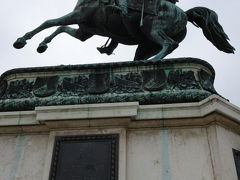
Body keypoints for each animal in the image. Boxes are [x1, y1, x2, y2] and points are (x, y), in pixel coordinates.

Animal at [13, 0, 234, 60]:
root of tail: (185, 14)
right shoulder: (85, 31)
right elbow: (60, 28)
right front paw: (42, 45)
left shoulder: (79, 16)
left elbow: (49, 22)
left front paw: (22, 40)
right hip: (146, 44)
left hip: (153, 30)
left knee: (169, 44)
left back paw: (151, 62)